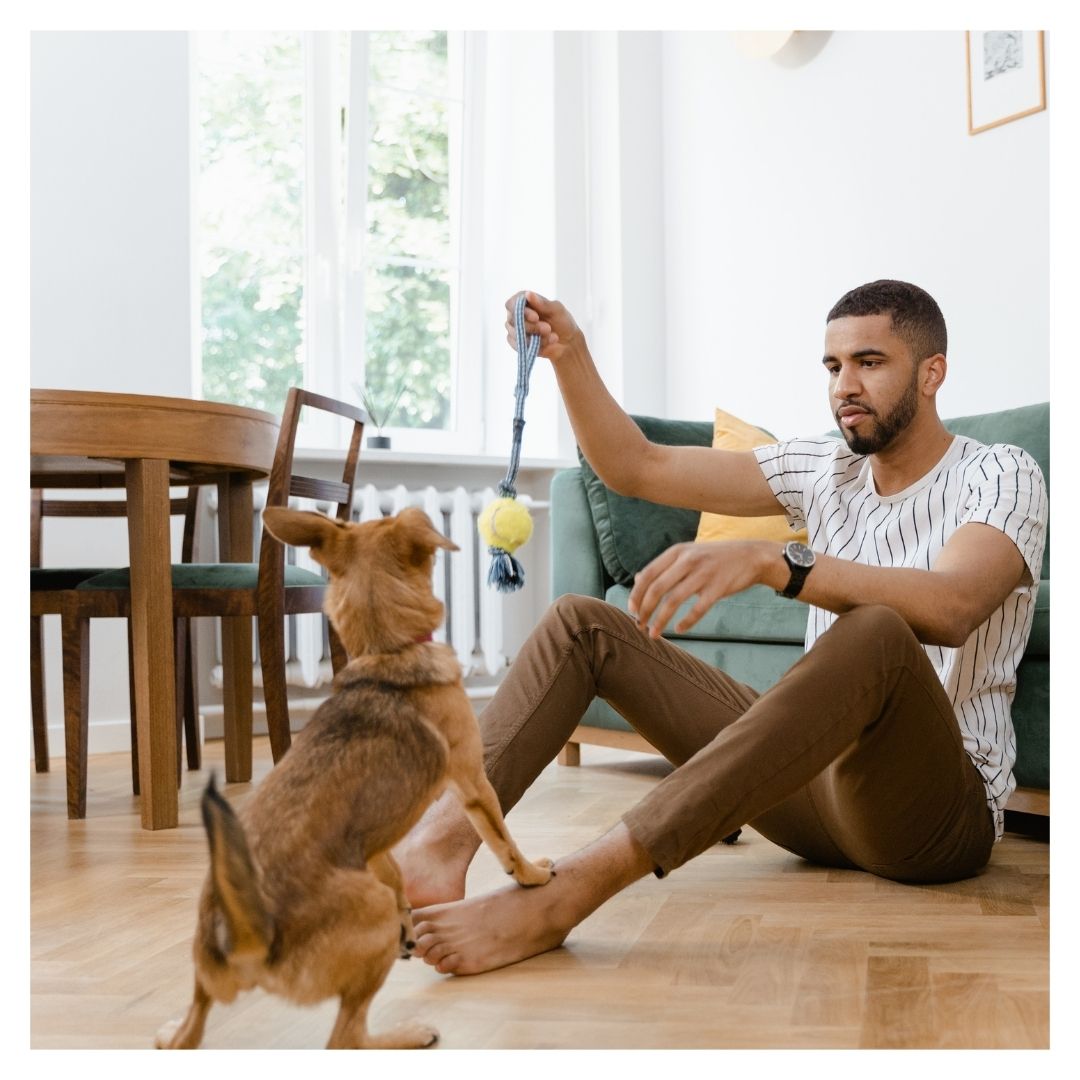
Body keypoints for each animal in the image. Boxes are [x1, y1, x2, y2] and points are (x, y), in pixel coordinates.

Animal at [156, 509, 552, 1049]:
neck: (387, 652)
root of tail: (249, 933)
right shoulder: (473, 780)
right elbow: (503, 841)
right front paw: (532, 874)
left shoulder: (376, 840)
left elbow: (397, 872)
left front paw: (410, 913)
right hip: (370, 918)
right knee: (346, 1037)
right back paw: (407, 1033)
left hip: (203, 988)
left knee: (187, 1033)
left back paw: (168, 1030)